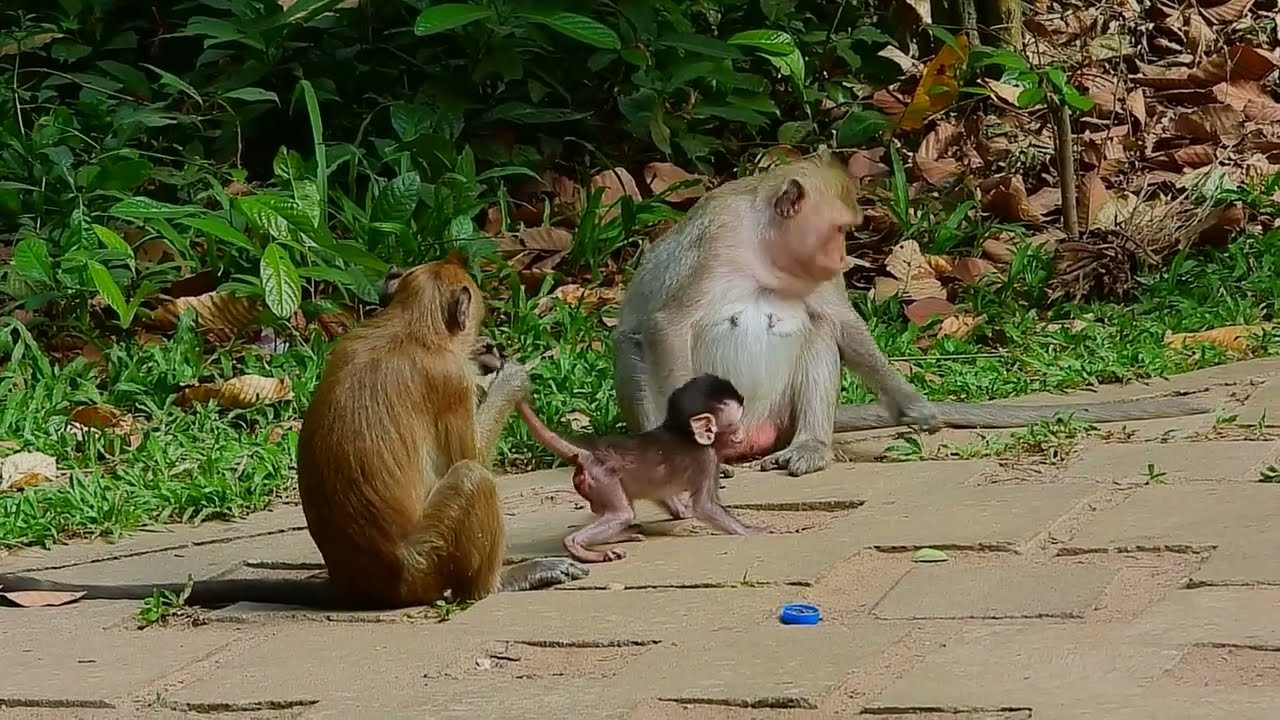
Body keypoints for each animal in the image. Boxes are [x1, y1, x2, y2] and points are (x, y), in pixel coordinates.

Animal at [0, 257, 588, 608]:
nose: (488, 344)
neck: (408, 327)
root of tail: (360, 584)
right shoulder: (447, 379)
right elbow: (469, 455)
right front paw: (510, 376)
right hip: (426, 562)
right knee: (470, 478)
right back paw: (499, 583)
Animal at [516, 374, 762, 563]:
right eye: (737, 425)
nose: (743, 434)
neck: (685, 432)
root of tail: (590, 456)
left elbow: (671, 500)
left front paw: (681, 513)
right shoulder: (706, 459)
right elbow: (705, 506)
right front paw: (751, 531)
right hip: (603, 480)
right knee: (622, 514)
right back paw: (579, 546)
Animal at [611, 149, 1214, 477]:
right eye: (838, 230)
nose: (843, 257)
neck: (762, 246)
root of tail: (760, 435)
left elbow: (840, 324)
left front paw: (912, 406)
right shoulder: (716, 242)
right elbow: (666, 325)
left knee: (817, 334)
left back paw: (810, 447)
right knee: (636, 350)